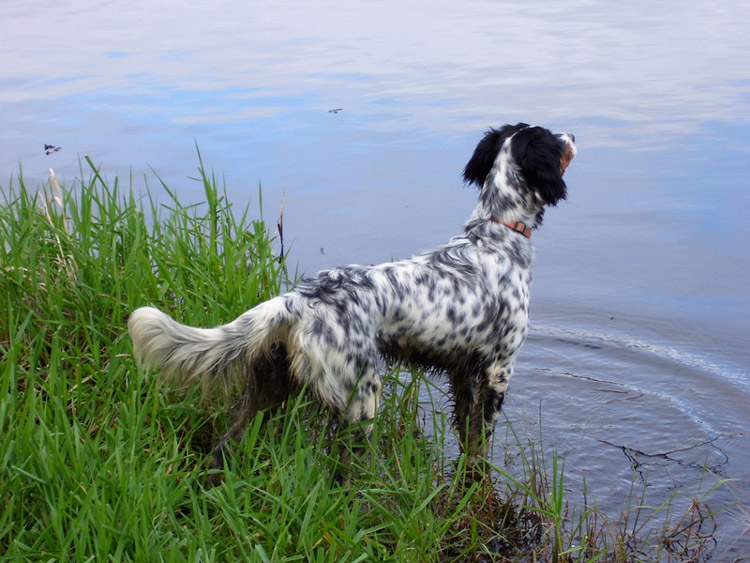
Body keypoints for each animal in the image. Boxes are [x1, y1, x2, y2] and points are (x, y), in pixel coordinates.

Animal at [128, 125, 576, 482]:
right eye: (554, 138)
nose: (573, 134)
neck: (496, 235)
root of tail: (296, 300)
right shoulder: (499, 368)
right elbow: (483, 438)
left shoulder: (463, 371)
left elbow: (468, 438)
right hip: (362, 395)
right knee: (343, 470)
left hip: (271, 389)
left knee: (226, 445)